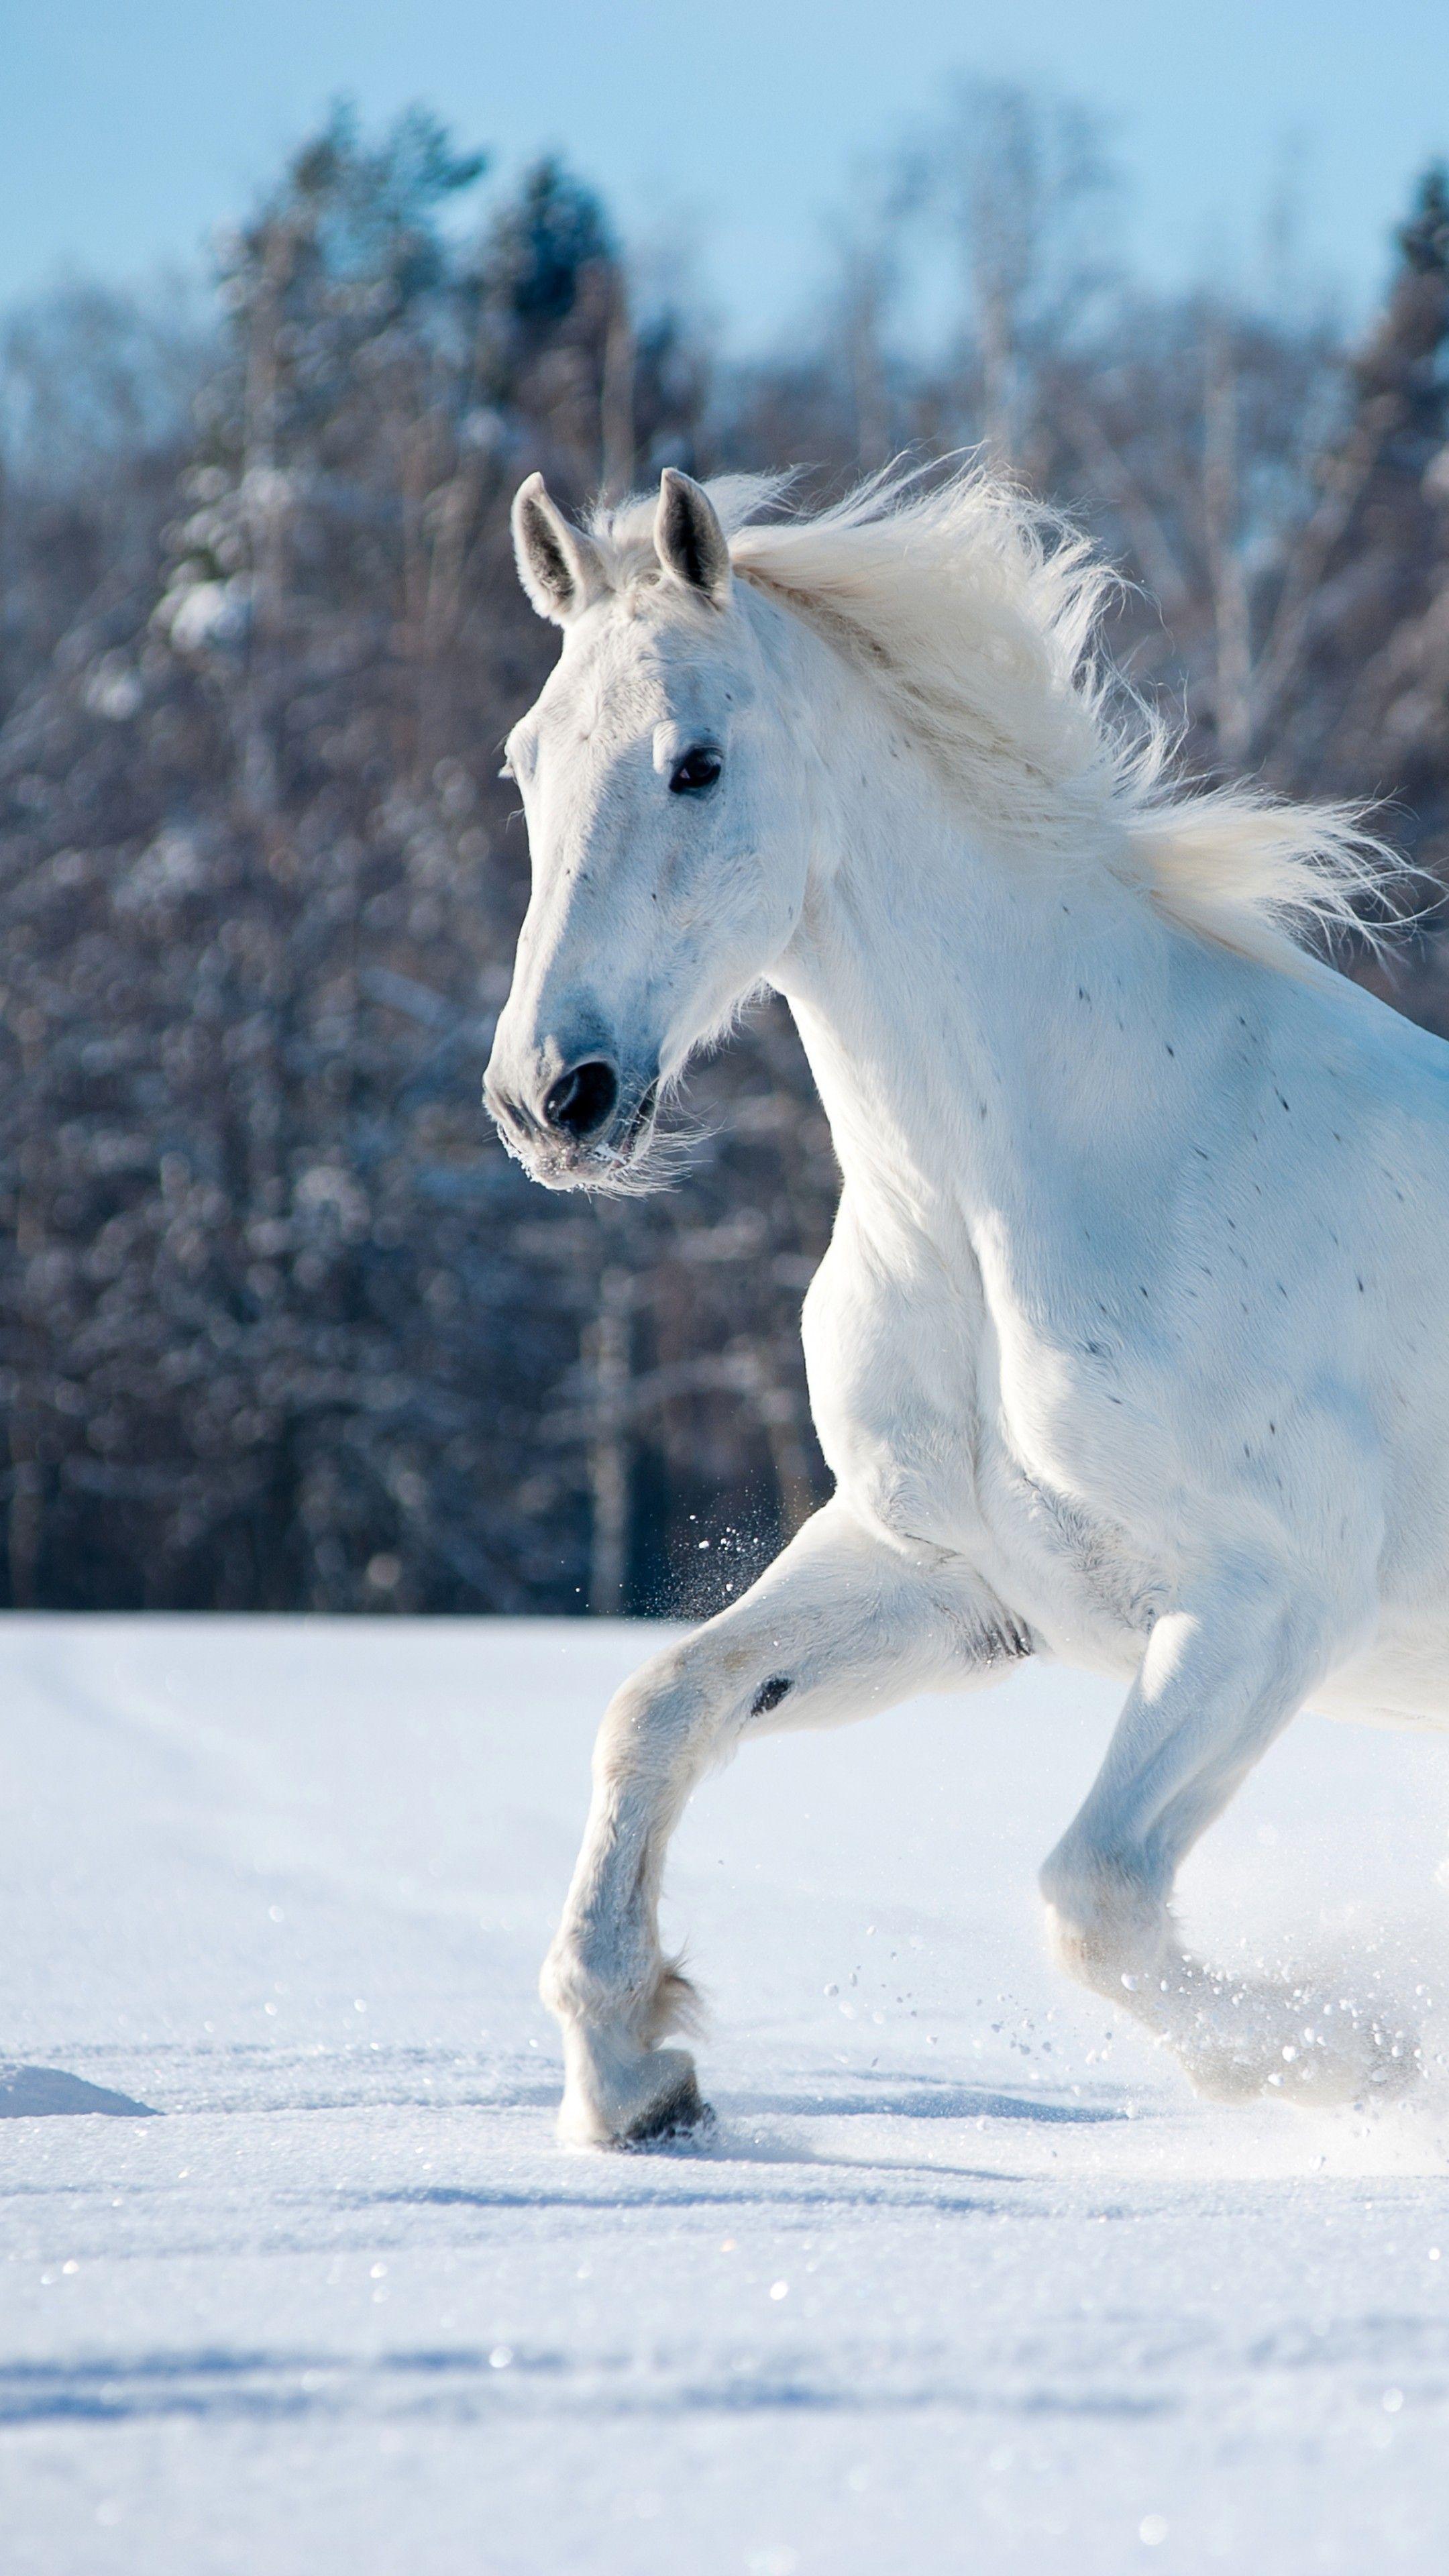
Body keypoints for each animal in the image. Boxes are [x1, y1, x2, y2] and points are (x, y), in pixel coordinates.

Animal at [486, 457, 1446, 2148]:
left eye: (696, 763)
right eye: (525, 764)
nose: (554, 1097)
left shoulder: (1270, 1603)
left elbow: (1093, 1896)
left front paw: (1357, 2066)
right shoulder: (942, 1574)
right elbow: (661, 1705)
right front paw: (636, 2074)